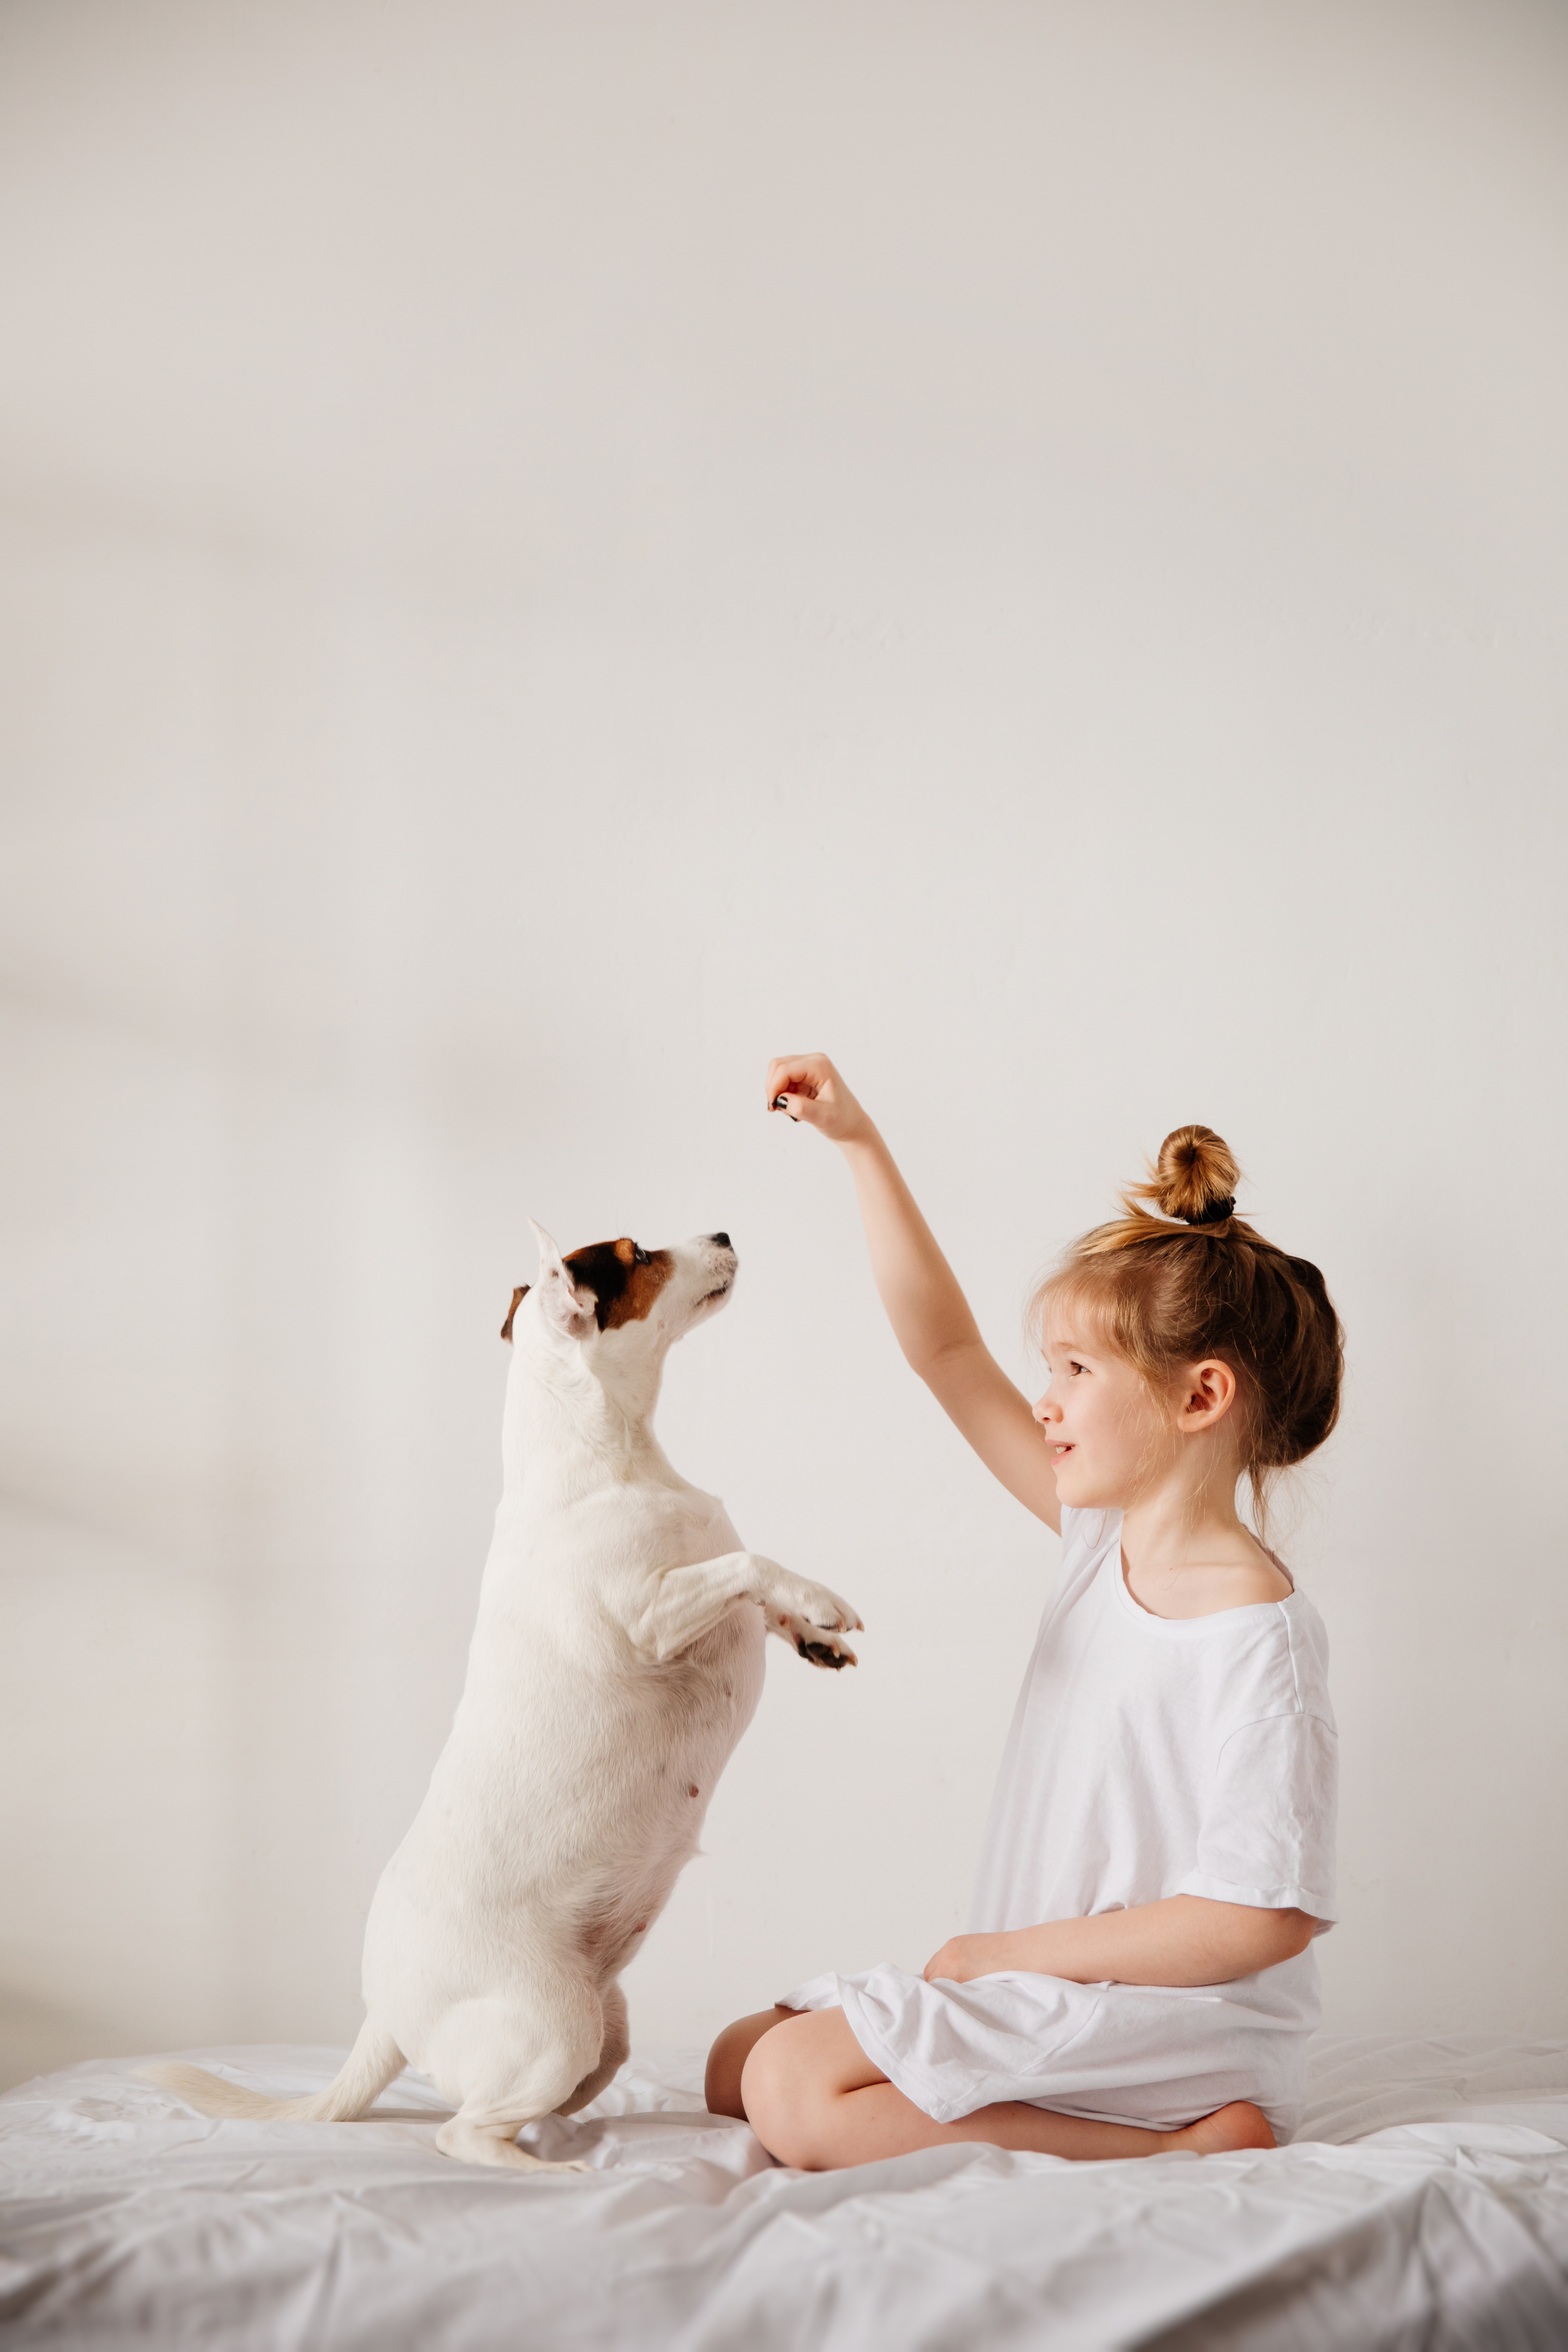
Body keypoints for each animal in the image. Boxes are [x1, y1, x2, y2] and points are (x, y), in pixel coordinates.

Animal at [153, 1232, 865, 2164]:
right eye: (639, 1255)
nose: (722, 1234)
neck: (606, 1458)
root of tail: (382, 2015)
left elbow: (753, 1591)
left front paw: (815, 1635)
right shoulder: (651, 1613)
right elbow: (748, 1565)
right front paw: (820, 1599)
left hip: (601, 2030)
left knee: (548, 2097)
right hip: (554, 2028)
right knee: (460, 2131)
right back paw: (550, 2172)